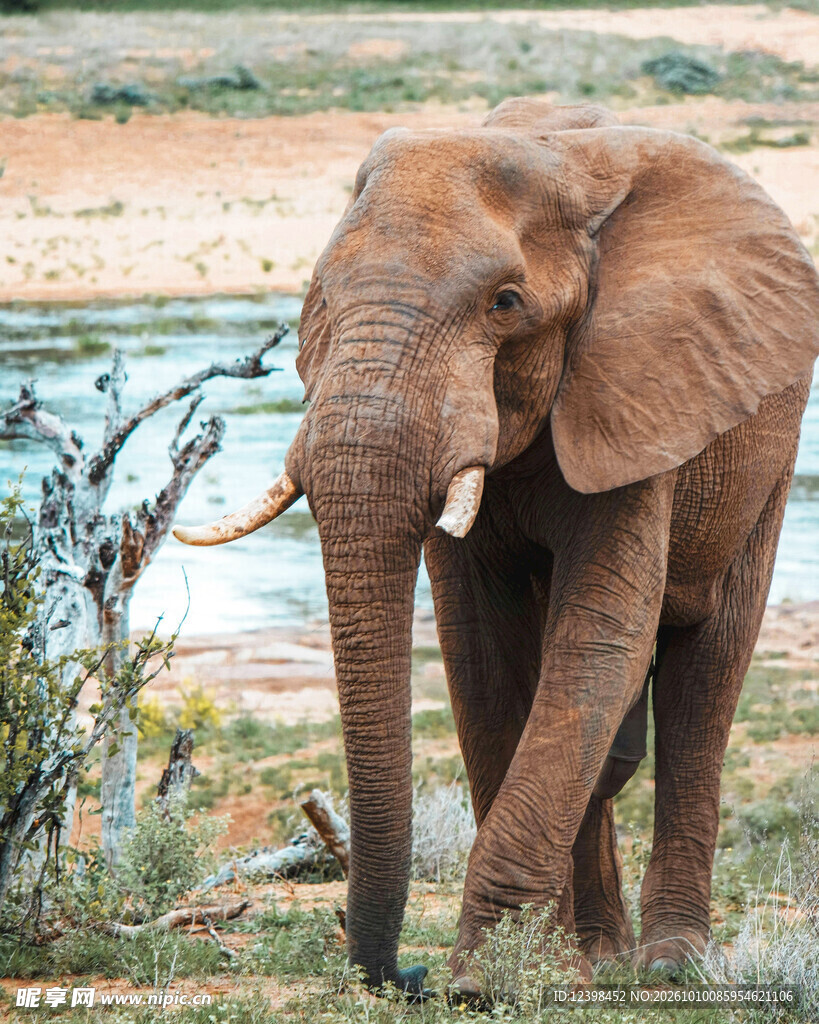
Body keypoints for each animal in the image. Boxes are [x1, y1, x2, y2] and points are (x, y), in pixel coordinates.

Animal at [174, 98, 819, 995]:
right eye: (320, 298)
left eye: (505, 302)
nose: (398, 974)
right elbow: (478, 651)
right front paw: (531, 966)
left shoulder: (635, 389)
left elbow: (598, 640)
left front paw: (483, 982)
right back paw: (600, 955)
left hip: (765, 448)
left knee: (704, 679)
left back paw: (665, 965)